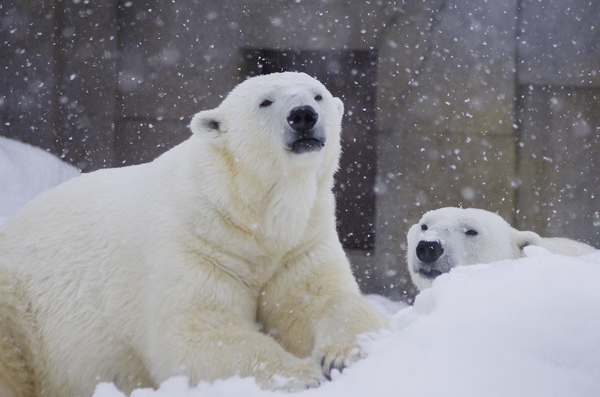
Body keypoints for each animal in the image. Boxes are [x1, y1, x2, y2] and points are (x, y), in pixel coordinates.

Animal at [0, 71, 390, 396]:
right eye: (265, 101)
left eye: (318, 94)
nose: (303, 115)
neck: (249, 212)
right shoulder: (198, 242)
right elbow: (201, 333)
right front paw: (304, 374)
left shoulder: (299, 242)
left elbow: (322, 300)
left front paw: (338, 357)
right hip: (20, 306)